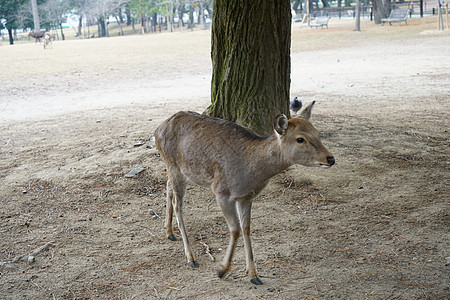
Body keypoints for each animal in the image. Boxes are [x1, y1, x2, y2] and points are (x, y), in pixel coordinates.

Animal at [155, 102, 334, 284]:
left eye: (317, 133)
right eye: (300, 139)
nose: (331, 159)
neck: (251, 171)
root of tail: (158, 130)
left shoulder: (246, 197)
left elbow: (246, 228)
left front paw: (254, 274)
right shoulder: (222, 192)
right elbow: (235, 230)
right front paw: (222, 270)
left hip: (182, 172)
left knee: (168, 186)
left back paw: (169, 232)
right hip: (174, 166)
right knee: (178, 205)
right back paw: (190, 258)